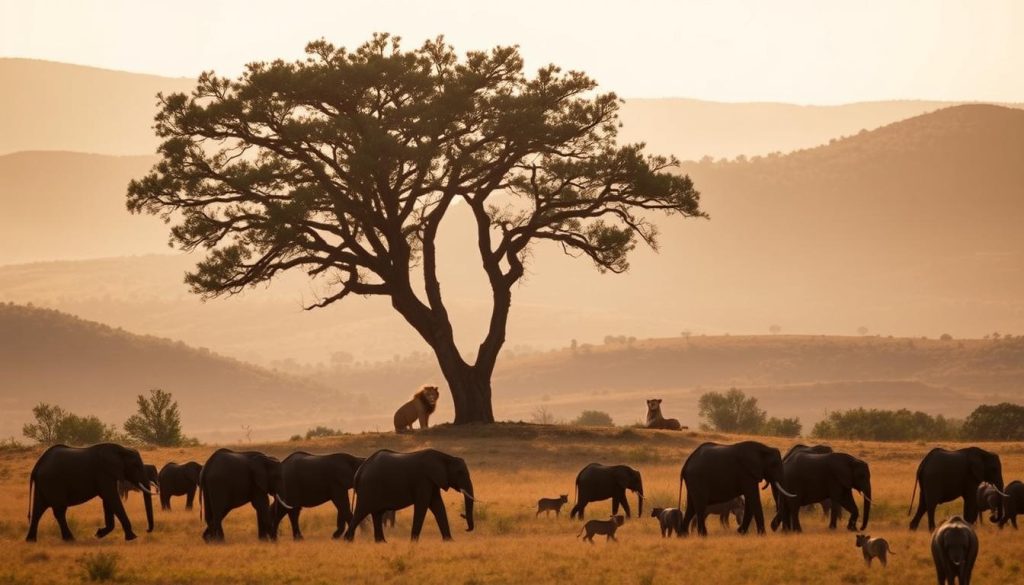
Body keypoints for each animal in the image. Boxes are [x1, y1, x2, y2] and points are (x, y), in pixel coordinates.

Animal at [26, 443, 155, 542]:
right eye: (136, 466)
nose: (147, 530)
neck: (121, 449)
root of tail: (37, 465)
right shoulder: (104, 473)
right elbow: (111, 496)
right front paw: (132, 537)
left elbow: (108, 500)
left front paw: (98, 534)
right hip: (53, 483)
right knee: (59, 511)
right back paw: (70, 539)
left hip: (44, 484)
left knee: (38, 510)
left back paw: (31, 541)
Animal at [342, 449, 475, 542]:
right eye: (460, 472)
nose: (466, 529)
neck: (445, 457)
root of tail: (359, 471)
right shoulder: (423, 480)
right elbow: (423, 505)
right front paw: (413, 543)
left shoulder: (432, 481)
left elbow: (438, 506)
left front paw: (449, 541)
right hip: (368, 488)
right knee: (361, 511)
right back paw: (348, 541)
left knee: (376, 514)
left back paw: (382, 543)